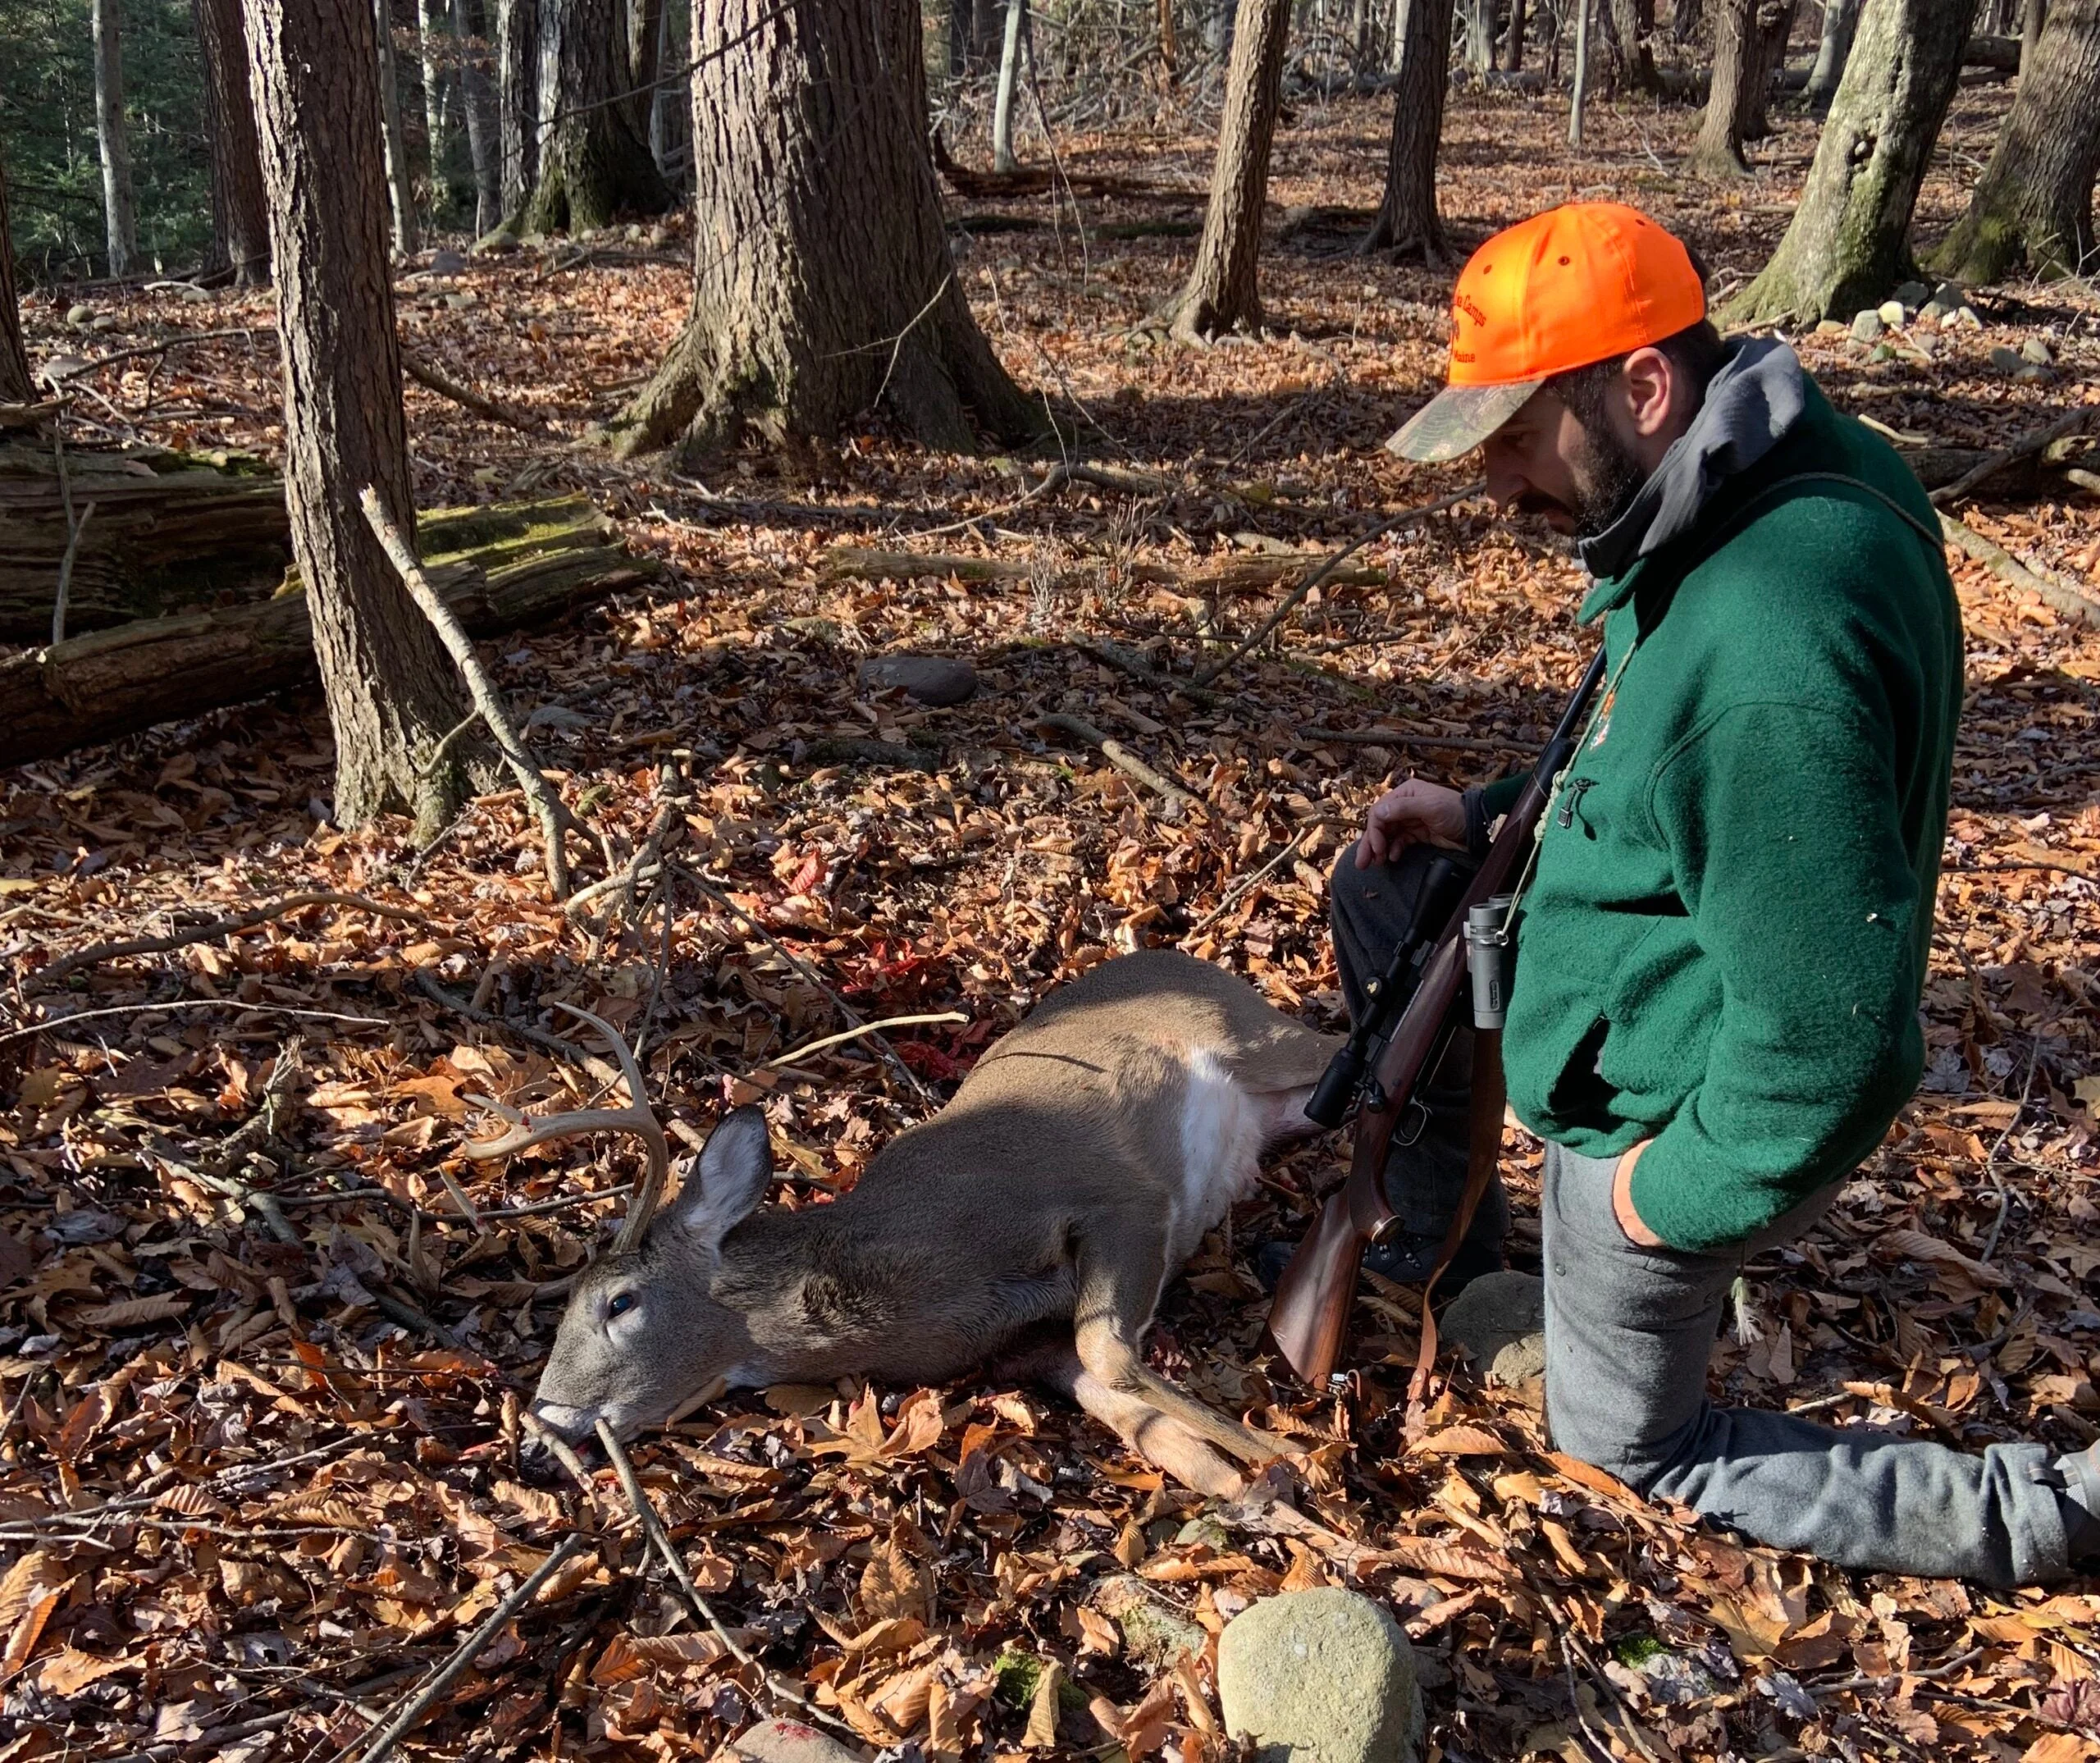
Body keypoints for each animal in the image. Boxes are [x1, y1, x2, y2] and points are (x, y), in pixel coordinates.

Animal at [470, 957, 1335, 1496]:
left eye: (619, 1302)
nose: (536, 1434)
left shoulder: (1120, 1194)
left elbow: (1111, 1351)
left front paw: (1301, 1457)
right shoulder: (1028, 1349)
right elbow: (1166, 1441)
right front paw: (1276, 1495)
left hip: (1254, 1037)